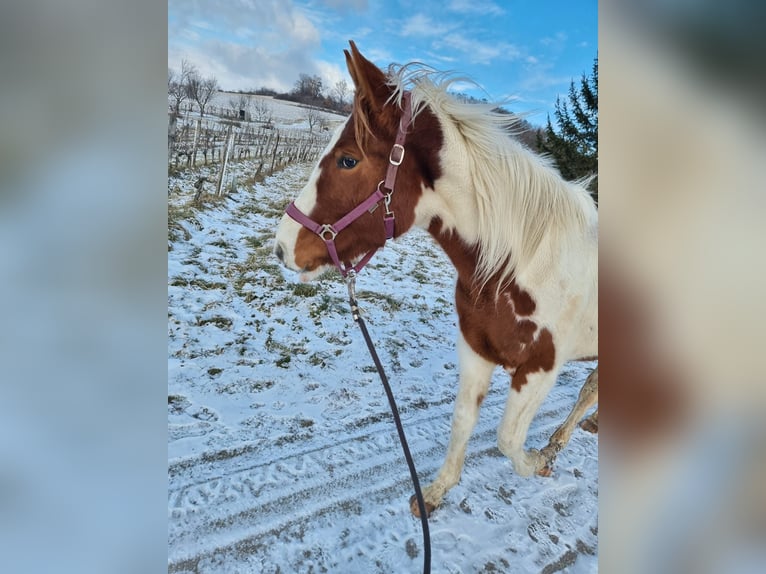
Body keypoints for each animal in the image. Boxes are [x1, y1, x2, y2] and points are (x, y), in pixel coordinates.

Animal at [274, 41, 598, 518]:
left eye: (348, 159)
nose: (281, 246)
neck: (520, 266)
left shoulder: (541, 369)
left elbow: (508, 440)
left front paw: (540, 460)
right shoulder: (476, 350)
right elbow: (462, 422)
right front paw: (435, 492)